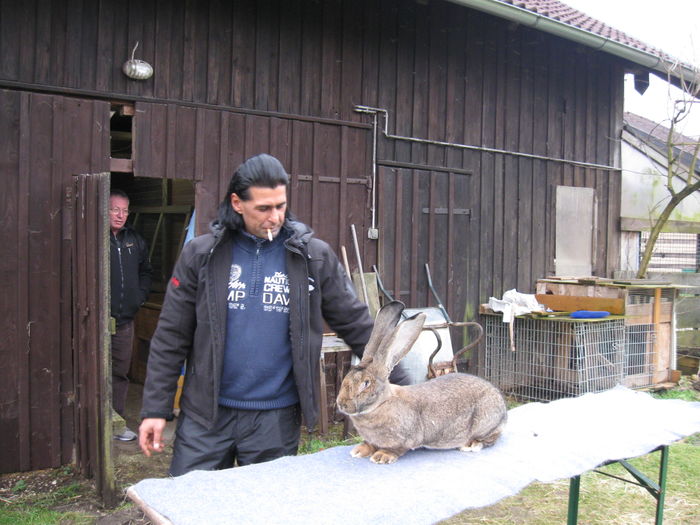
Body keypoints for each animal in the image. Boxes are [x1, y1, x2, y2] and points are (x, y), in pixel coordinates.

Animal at [336, 298, 506, 462]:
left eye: (366, 383)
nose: (341, 404)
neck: (381, 403)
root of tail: (503, 408)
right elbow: (370, 444)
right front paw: (359, 451)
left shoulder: (406, 438)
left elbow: (396, 449)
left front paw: (382, 456)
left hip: (485, 423)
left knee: (492, 436)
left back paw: (471, 445)